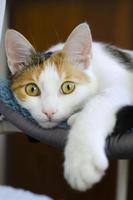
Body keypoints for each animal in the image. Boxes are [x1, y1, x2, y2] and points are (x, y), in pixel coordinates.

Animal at [4, 23, 133, 191]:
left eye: (68, 87)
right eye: (32, 89)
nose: (49, 112)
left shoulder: (123, 84)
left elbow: (101, 100)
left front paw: (81, 161)